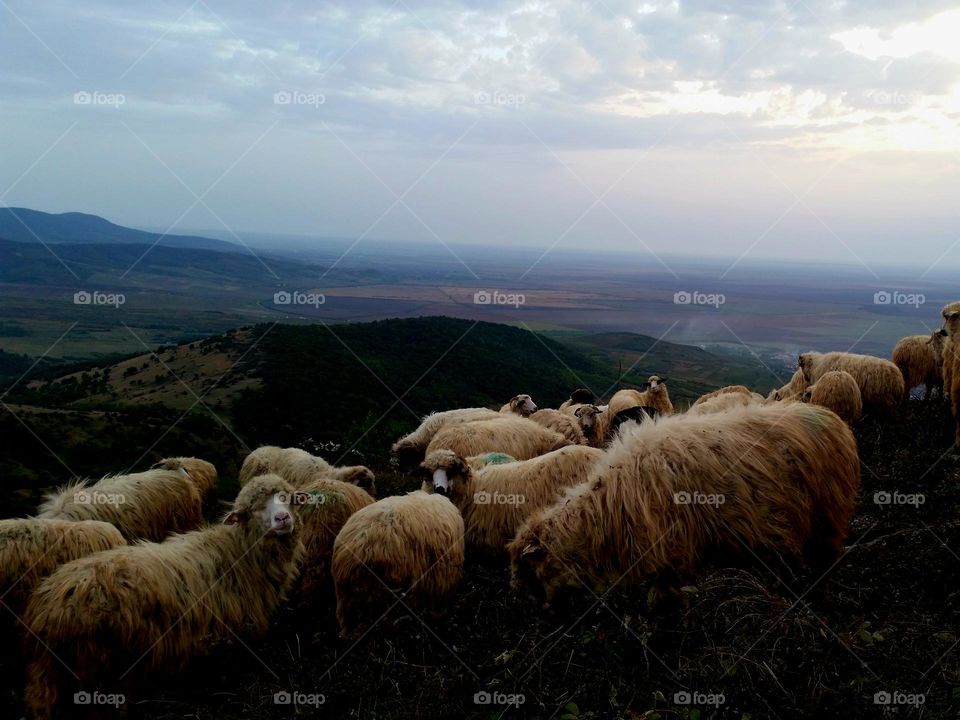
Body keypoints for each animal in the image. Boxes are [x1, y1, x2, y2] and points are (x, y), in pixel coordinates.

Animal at [508, 402, 860, 606]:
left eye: (531, 570)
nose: (541, 611)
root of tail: (835, 421)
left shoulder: (674, 555)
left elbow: (664, 603)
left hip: (827, 518)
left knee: (825, 565)